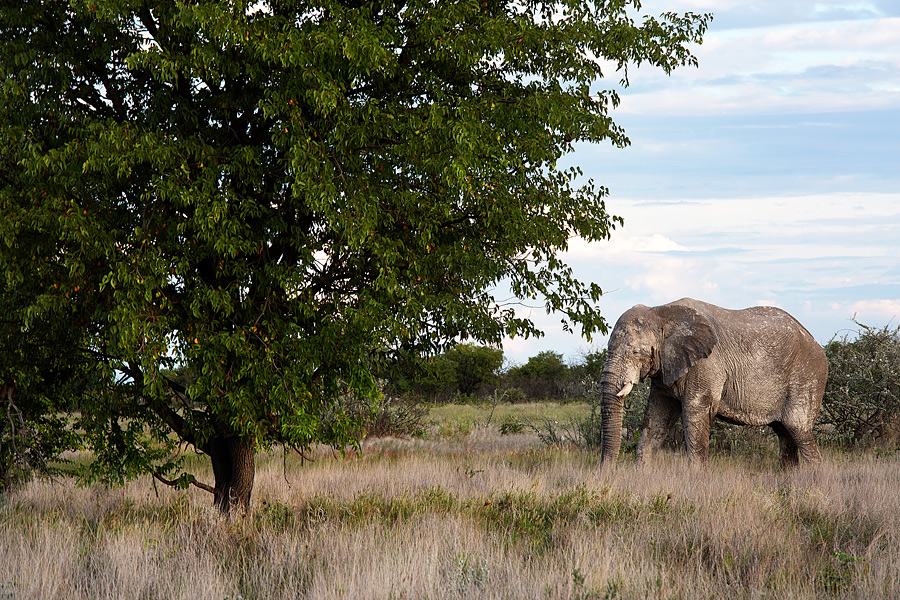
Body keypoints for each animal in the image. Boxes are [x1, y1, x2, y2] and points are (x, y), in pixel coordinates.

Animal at [600, 298, 828, 468]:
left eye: (636, 352)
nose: (607, 473)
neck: (660, 311)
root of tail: (817, 344)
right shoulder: (666, 369)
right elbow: (656, 420)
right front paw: (641, 476)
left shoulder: (706, 365)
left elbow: (695, 414)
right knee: (785, 434)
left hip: (807, 378)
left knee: (798, 429)